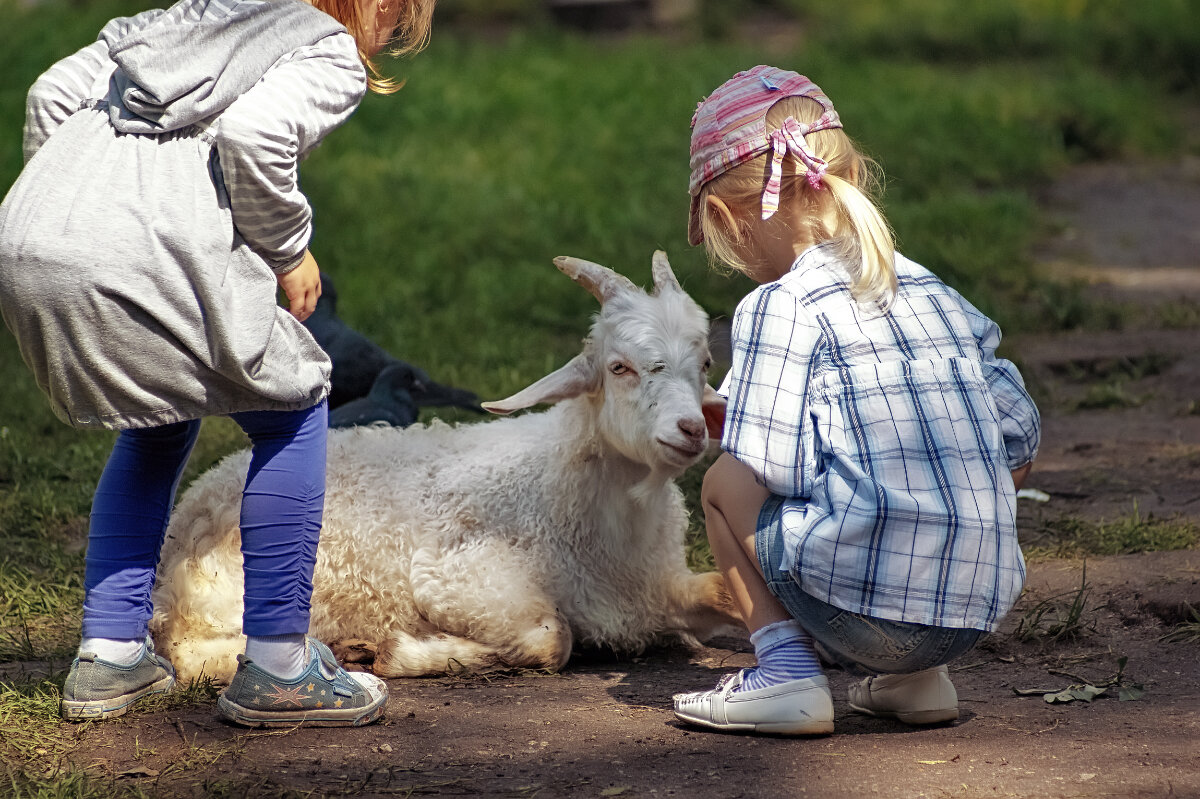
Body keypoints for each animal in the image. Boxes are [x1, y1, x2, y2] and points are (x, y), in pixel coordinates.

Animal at [150, 249, 739, 676]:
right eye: (619, 367)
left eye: (706, 363)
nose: (691, 429)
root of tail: (193, 503)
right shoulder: (459, 580)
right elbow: (552, 640)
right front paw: (409, 652)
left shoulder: (659, 587)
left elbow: (722, 591)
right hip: (225, 592)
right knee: (192, 652)